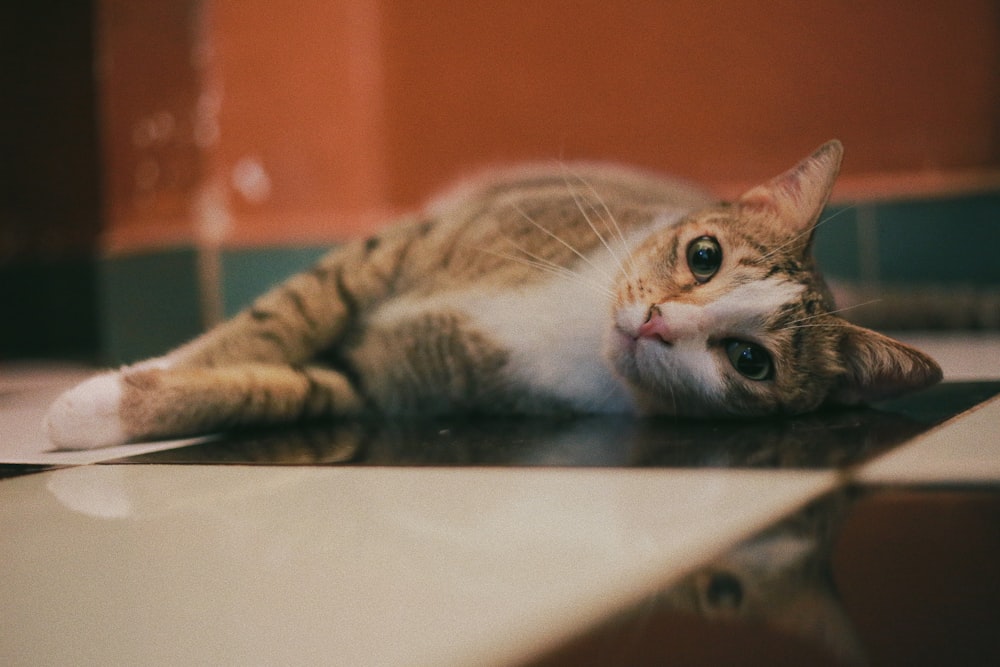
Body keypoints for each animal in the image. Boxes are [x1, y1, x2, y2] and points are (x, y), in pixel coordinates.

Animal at [43, 140, 940, 448]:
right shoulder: (392, 251)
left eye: (750, 360)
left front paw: (103, 406)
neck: (573, 326)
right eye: (704, 255)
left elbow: (276, 388)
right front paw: (113, 388)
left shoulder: (383, 385)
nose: (656, 323)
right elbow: (267, 324)